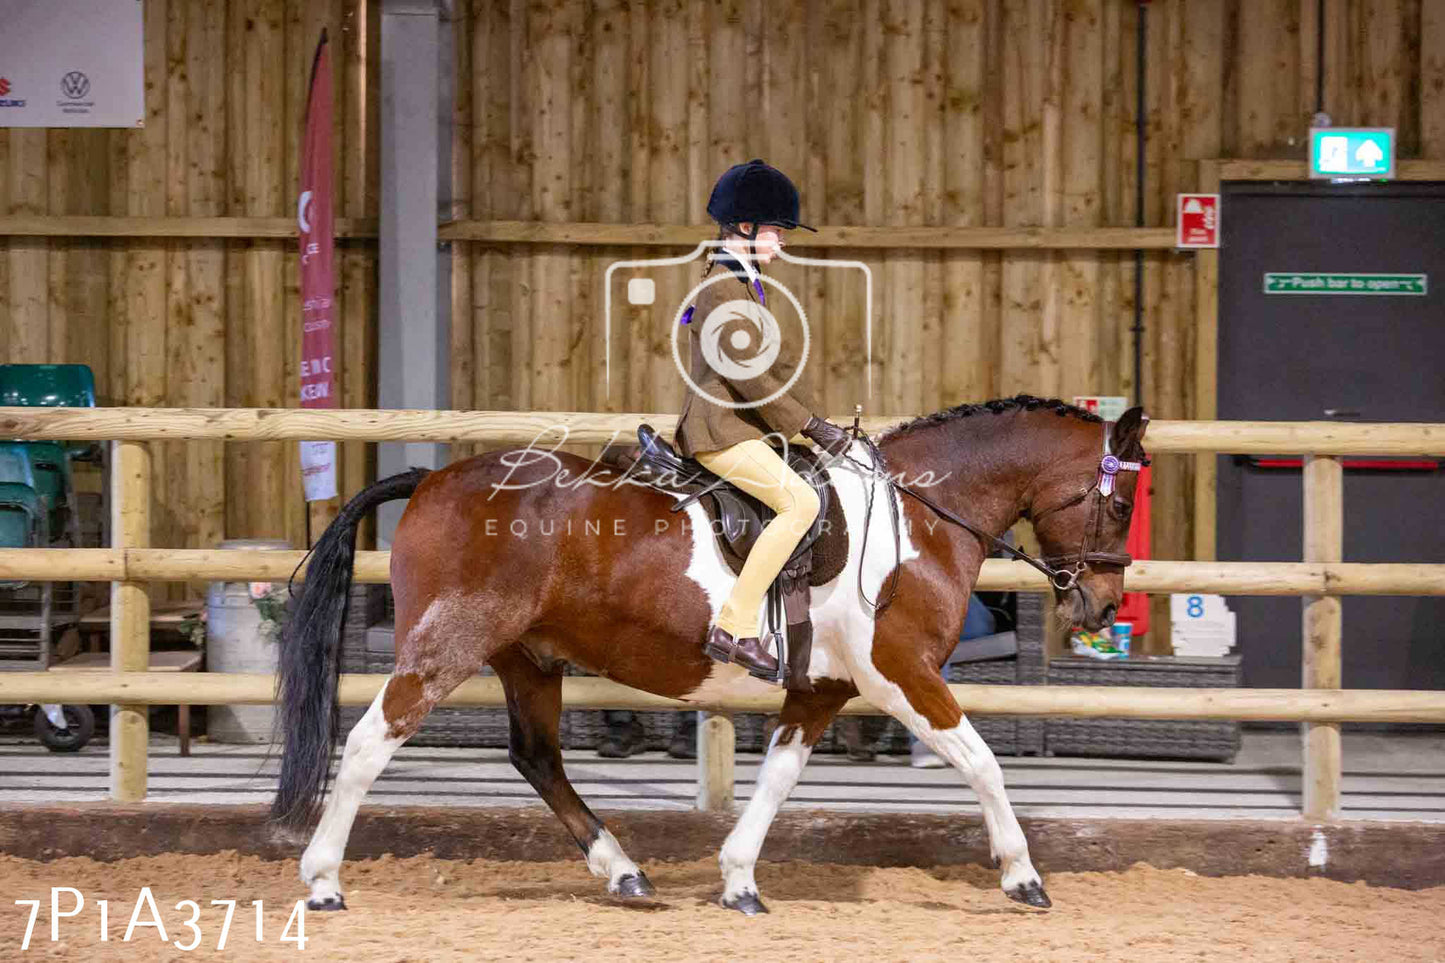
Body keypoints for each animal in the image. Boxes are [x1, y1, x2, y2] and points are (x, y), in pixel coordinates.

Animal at [271, 393, 1150, 913]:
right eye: (1120, 502)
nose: (1102, 606)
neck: (918, 517)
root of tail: (430, 480)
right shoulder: (899, 673)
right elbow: (981, 762)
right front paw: (1022, 875)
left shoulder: (820, 689)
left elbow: (778, 778)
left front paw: (737, 878)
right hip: (447, 645)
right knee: (369, 743)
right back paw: (322, 881)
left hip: (529, 657)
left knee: (537, 757)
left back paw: (623, 871)